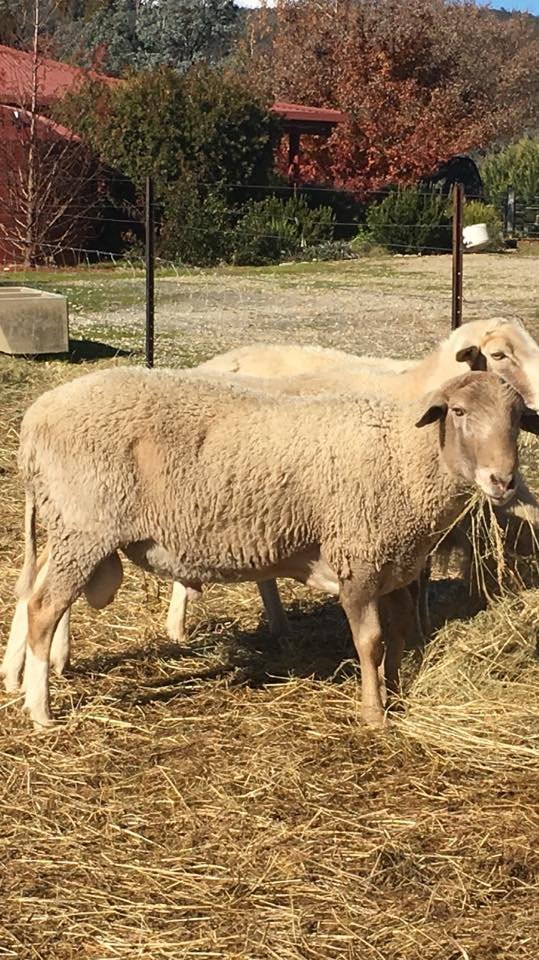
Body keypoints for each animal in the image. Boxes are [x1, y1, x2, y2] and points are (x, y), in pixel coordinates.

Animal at [6, 365, 538, 730]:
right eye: (460, 413)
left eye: (516, 418)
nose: (503, 481)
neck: (403, 457)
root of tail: (36, 416)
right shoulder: (358, 558)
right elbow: (370, 641)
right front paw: (374, 713)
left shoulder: (394, 565)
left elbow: (401, 633)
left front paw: (396, 693)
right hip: (85, 526)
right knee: (44, 608)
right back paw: (41, 710)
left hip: (71, 528)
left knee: (33, 594)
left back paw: (23, 677)